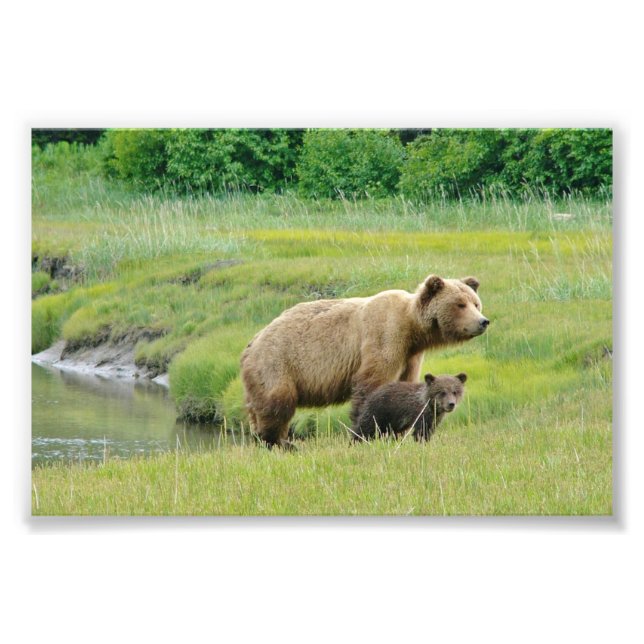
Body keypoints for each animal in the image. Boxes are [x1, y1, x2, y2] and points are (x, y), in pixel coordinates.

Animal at [240, 274, 489, 448]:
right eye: (460, 304)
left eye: (476, 303)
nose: (483, 321)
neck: (412, 329)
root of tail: (250, 346)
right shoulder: (385, 335)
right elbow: (372, 383)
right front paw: (372, 432)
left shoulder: (410, 355)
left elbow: (405, 385)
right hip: (276, 364)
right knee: (277, 405)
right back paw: (280, 443)